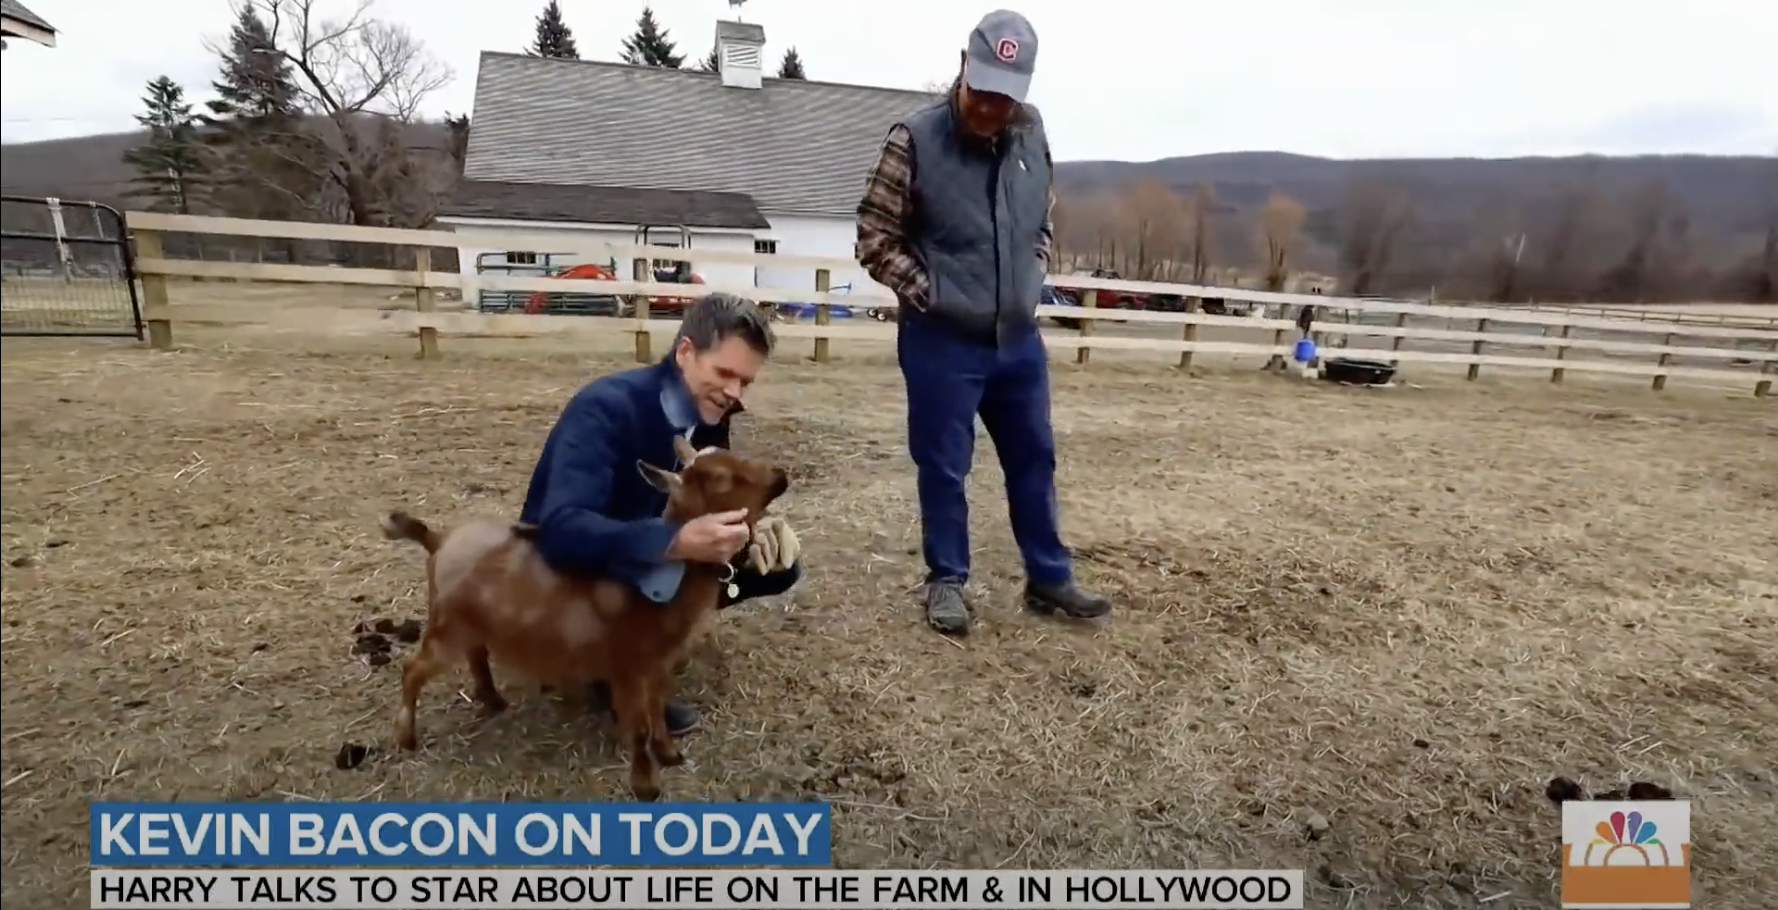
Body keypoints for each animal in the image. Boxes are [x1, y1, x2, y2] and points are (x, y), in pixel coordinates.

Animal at [387, 437, 792, 799]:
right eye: (722, 477)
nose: (781, 475)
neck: (654, 591)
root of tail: (438, 541)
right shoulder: (627, 667)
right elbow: (639, 728)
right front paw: (646, 787)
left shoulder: (658, 665)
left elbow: (657, 711)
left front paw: (670, 755)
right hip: (446, 624)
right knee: (413, 668)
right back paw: (406, 738)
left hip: (470, 622)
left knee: (475, 653)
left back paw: (493, 701)